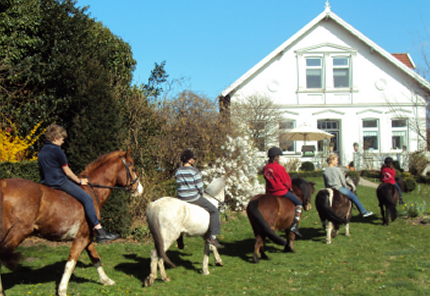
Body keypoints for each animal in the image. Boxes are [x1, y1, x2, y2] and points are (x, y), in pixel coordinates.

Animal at [0, 149, 144, 296]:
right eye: (133, 168)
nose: (140, 190)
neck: (91, 191)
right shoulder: (81, 238)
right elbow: (70, 263)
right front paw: (62, 290)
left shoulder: (87, 237)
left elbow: (95, 258)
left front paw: (106, 280)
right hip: (18, 232)